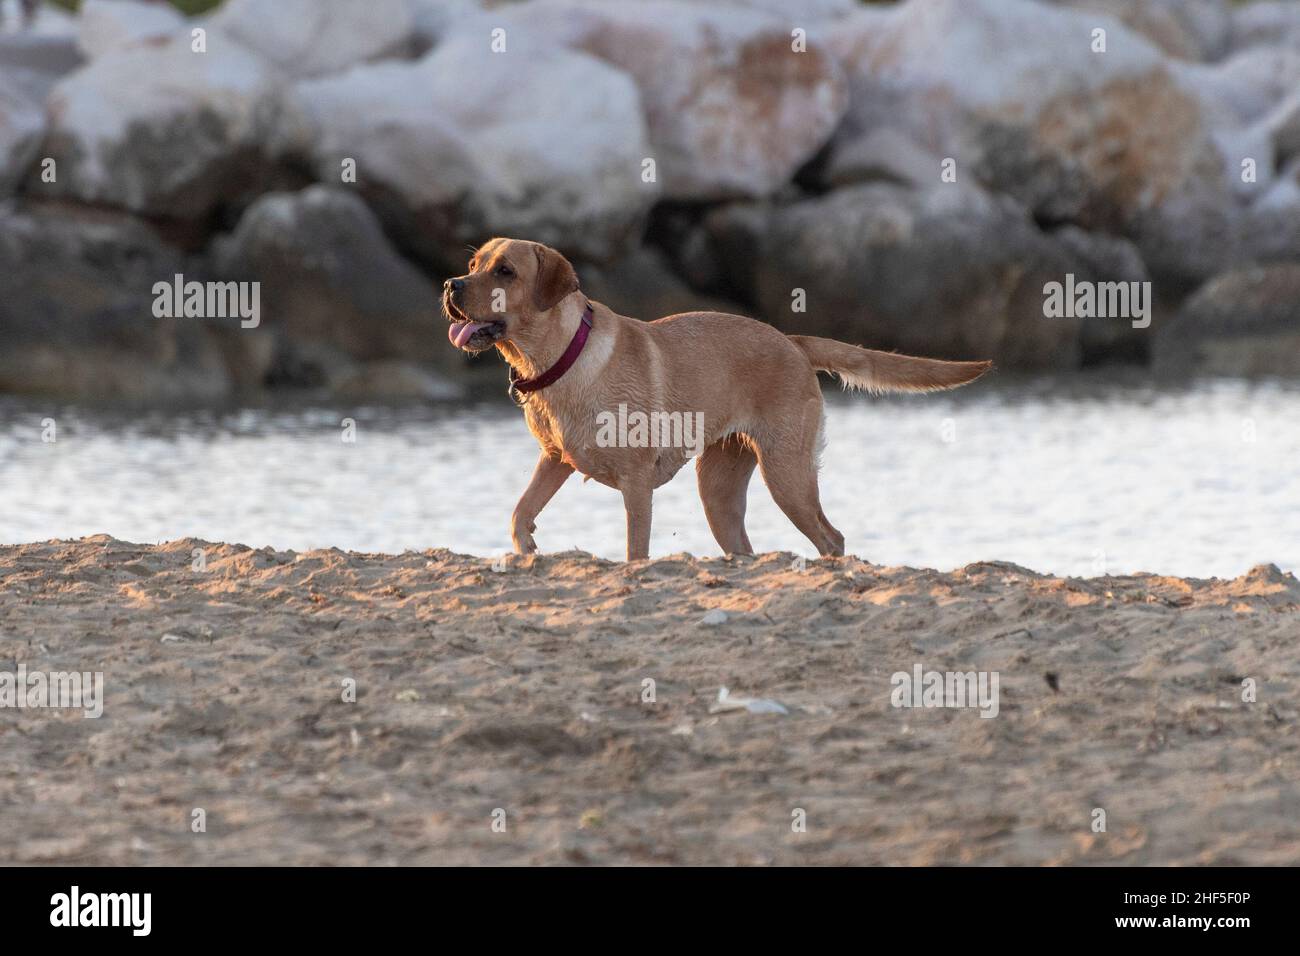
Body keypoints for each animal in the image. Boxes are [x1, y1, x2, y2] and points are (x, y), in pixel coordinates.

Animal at [441, 238, 987, 561]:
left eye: (505, 272)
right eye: (472, 264)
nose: (450, 284)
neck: (561, 359)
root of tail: (792, 340)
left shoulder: (636, 484)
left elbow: (635, 550)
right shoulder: (554, 459)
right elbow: (520, 510)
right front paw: (526, 545)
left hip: (787, 476)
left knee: (832, 538)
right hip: (719, 494)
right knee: (746, 548)